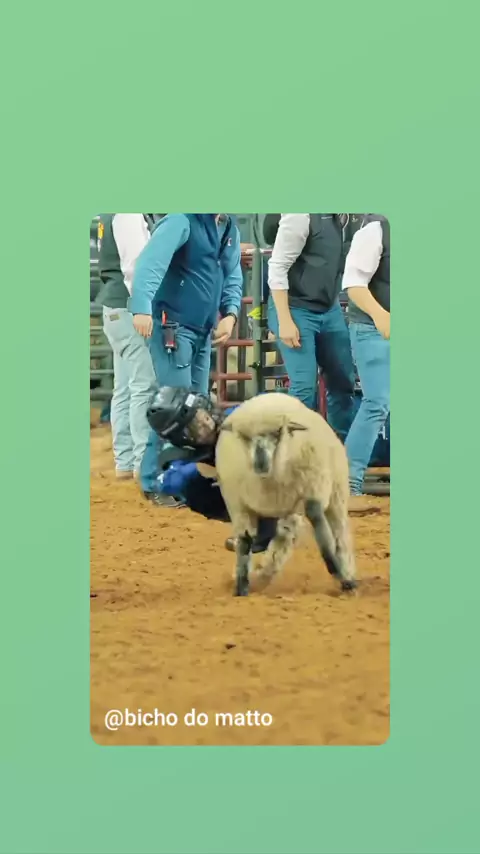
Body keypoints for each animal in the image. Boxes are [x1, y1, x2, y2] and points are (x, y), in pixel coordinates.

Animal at [215, 392, 357, 597]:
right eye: (244, 436)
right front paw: (241, 588)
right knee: (283, 537)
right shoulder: (238, 506)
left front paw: (338, 571)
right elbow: (244, 543)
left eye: (277, 432)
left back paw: (347, 573)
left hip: (334, 493)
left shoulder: (313, 492)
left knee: (338, 532)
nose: (260, 463)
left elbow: (321, 531)